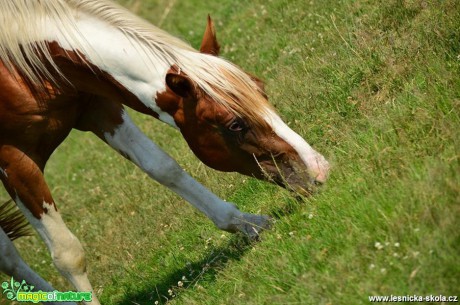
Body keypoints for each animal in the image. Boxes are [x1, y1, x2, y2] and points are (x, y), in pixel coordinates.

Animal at [0, 0, 330, 302]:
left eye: (261, 88)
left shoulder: (100, 109)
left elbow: (164, 167)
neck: (18, 65)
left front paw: (247, 223)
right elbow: (68, 254)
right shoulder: (14, 159)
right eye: (235, 124)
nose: (317, 168)